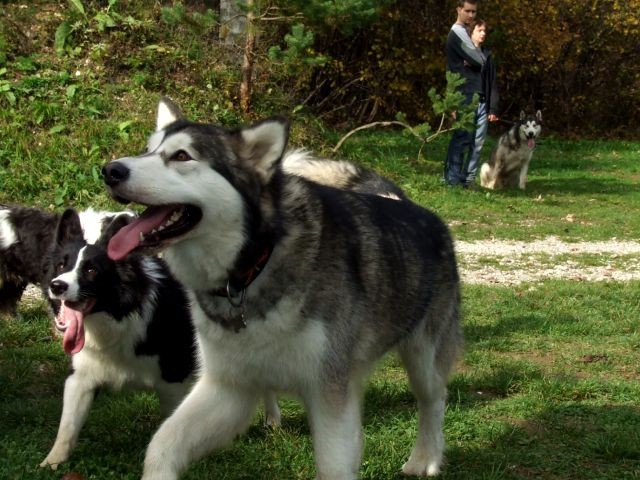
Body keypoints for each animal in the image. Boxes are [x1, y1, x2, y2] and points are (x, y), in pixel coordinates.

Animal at [102, 98, 462, 480]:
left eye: (182, 156)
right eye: (147, 150)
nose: (110, 170)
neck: (252, 269)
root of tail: (408, 204)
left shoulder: (329, 390)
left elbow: (333, 464)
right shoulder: (228, 387)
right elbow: (162, 445)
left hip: (424, 356)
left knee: (433, 400)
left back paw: (426, 458)